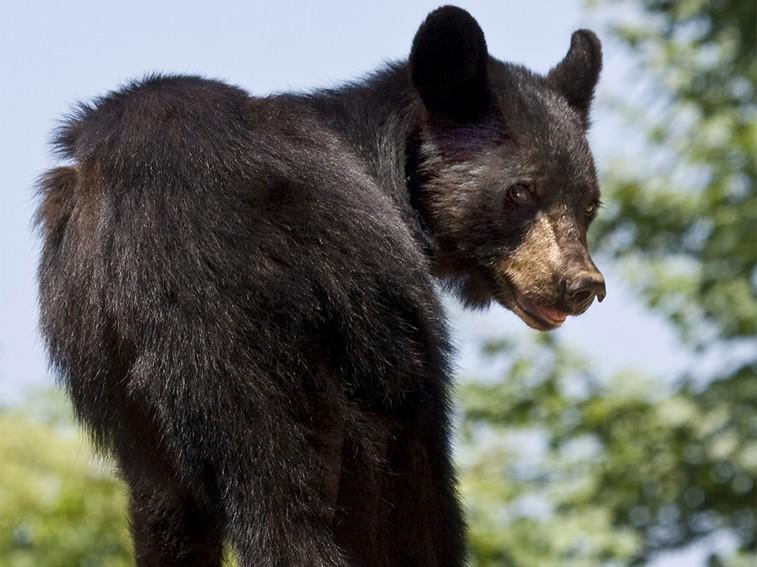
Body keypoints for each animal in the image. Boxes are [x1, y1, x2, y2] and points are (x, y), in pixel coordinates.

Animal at [35, 5, 605, 567]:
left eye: (589, 204)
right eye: (520, 192)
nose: (582, 285)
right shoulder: (385, 318)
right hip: (271, 337)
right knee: (290, 507)